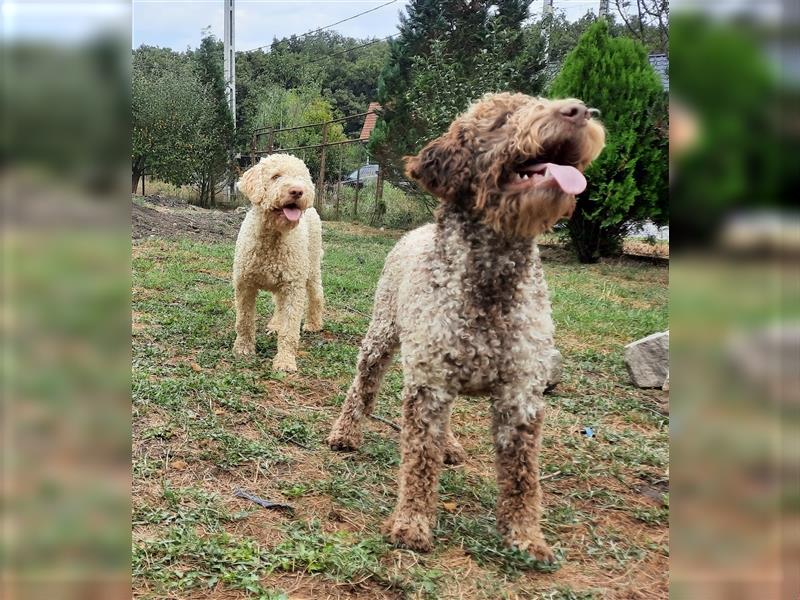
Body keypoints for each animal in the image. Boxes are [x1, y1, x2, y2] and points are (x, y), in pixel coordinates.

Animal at [233, 154, 324, 370]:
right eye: (276, 176)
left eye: (301, 178)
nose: (298, 191)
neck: (274, 236)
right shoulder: (244, 284)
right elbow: (244, 319)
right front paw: (243, 348)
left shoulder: (293, 287)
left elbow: (289, 329)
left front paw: (285, 361)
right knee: (278, 304)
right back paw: (275, 324)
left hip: (311, 265)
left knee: (316, 294)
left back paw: (313, 324)